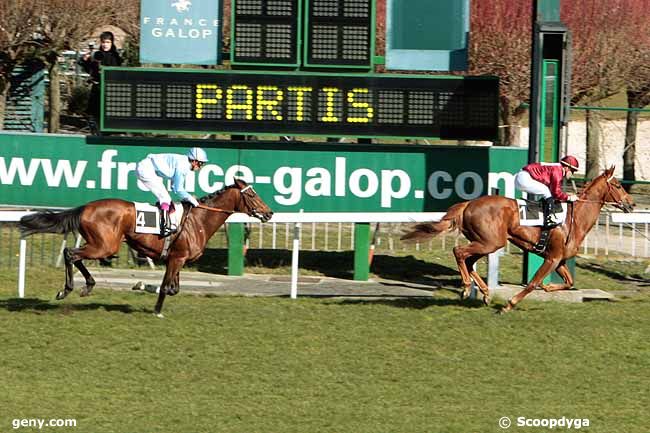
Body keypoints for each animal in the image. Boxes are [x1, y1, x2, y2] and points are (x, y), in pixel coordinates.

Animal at [17, 177, 270, 316]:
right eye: (252, 195)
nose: (269, 213)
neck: (198, 221)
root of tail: (86, 207)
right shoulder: (176, 259)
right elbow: (167, 287)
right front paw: (157, 310)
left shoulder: (176, 259)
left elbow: (173, 288)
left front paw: (146, 289)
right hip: (105, 246)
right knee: (70, 253)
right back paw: (70, 289)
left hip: (101, 244)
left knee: (73, 255)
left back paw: (86, 286)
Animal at [400, 167, 632, 312]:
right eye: (618, 185)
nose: (631, 204)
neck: (574, 220)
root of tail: (468, 204)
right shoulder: (552, 258)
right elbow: (533, 283)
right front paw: (509, 304)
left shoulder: (560, 260)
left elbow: (569, 282)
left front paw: (549, 288)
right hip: (490, 242)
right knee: (459, 253)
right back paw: (466, 288)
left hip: (485, 242)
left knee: (469, 261)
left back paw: (485, 292)